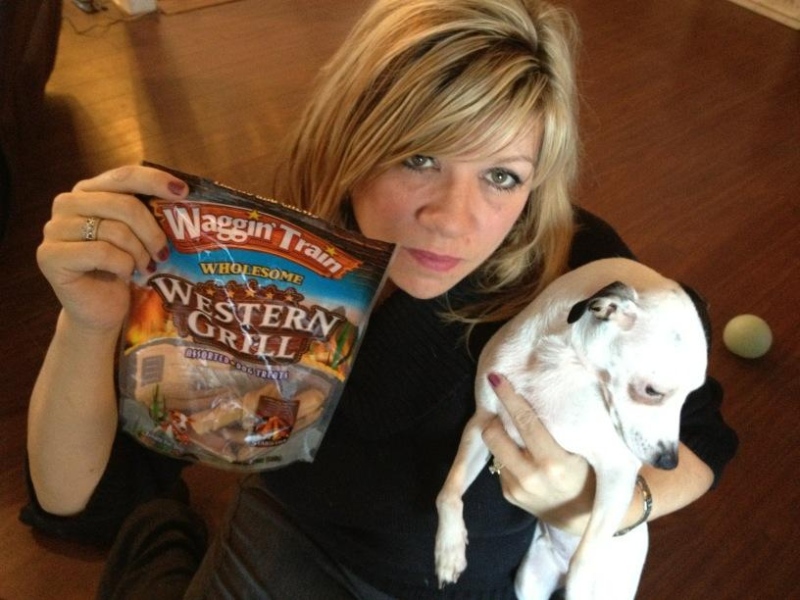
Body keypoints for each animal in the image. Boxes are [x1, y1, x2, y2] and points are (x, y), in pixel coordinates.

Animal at [438, 256, 708, 600]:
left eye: (692, 395)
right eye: (652, 392)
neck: (562, 363)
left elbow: (584, 559)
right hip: (529, 581)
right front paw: (449, 549)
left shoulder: (617, 471)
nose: (669, 462)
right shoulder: (480, 424)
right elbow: (448, 492)